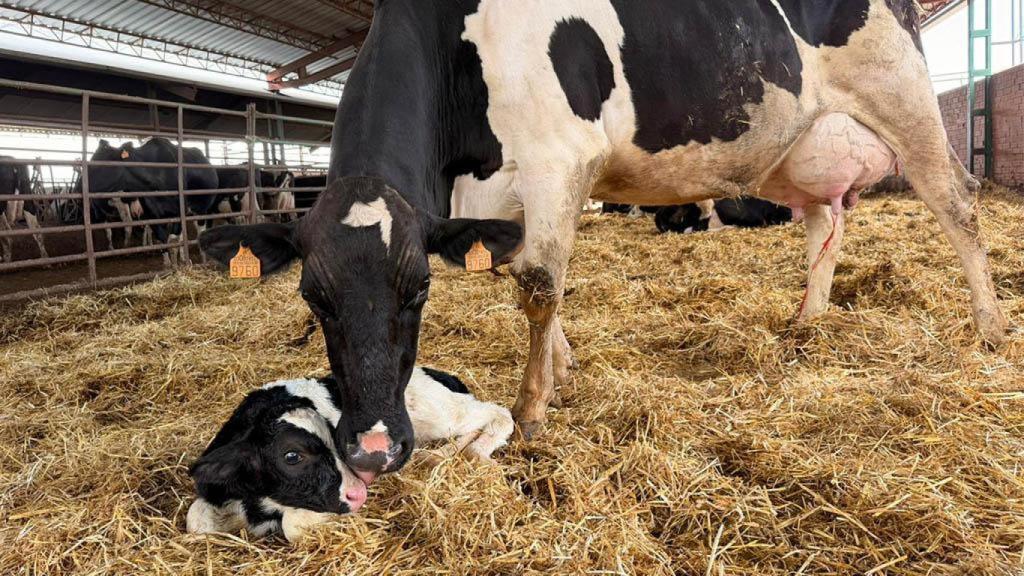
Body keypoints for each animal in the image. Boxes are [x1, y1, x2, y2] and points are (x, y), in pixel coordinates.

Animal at [186, 367, 513, 541]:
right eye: (291, 456)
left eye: (334, 439)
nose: (359, 493)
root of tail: (438, 373)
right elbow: (196, 520)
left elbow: (293, 525)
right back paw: (437, 455)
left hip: (440, 413)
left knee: (498, 413)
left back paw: (477, 452)